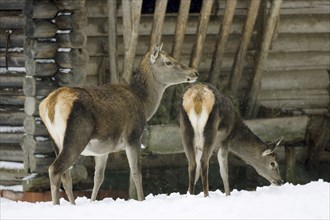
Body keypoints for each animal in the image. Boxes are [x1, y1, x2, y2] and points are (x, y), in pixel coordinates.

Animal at [38, 43, 199, 205]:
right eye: (168, 62)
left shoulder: (103, 150)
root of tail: (50, 104)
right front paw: (141, 200)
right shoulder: (133, 136)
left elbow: (98, 178)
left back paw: (72, 204)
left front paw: (92, 202)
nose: (195, 72)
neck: (144, 104)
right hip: (77, 136)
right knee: (55, 169)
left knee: (66, 176)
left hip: (56, 141)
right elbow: (136, 173)